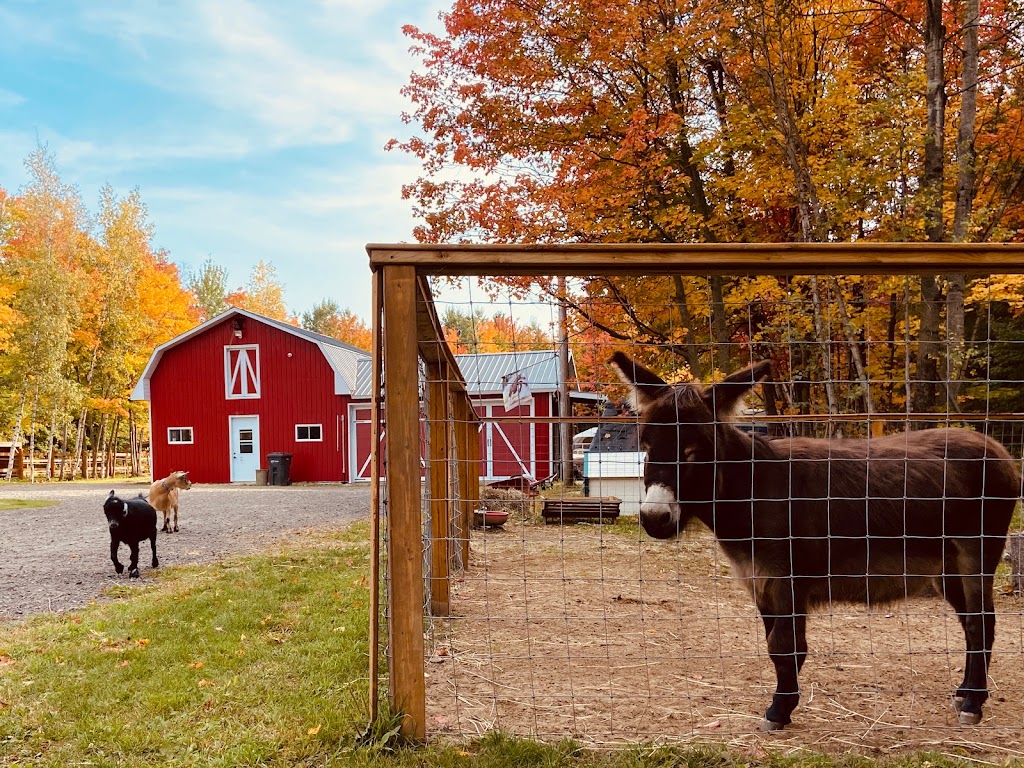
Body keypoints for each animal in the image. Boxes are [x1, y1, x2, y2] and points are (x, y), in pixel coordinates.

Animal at [610, 352, 1019, 729]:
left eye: (694, 452)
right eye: (647, 446)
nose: (654, 518)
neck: (755, 490)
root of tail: (998, 449)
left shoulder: (786, 579)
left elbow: (784, 647)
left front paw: (779, 711)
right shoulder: (760, 581)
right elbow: (776, 645)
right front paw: (783, 705)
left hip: (976, 553)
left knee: (982, 622)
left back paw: (973, 704)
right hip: (946, 568)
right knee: (970, 624)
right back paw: (966, 693)